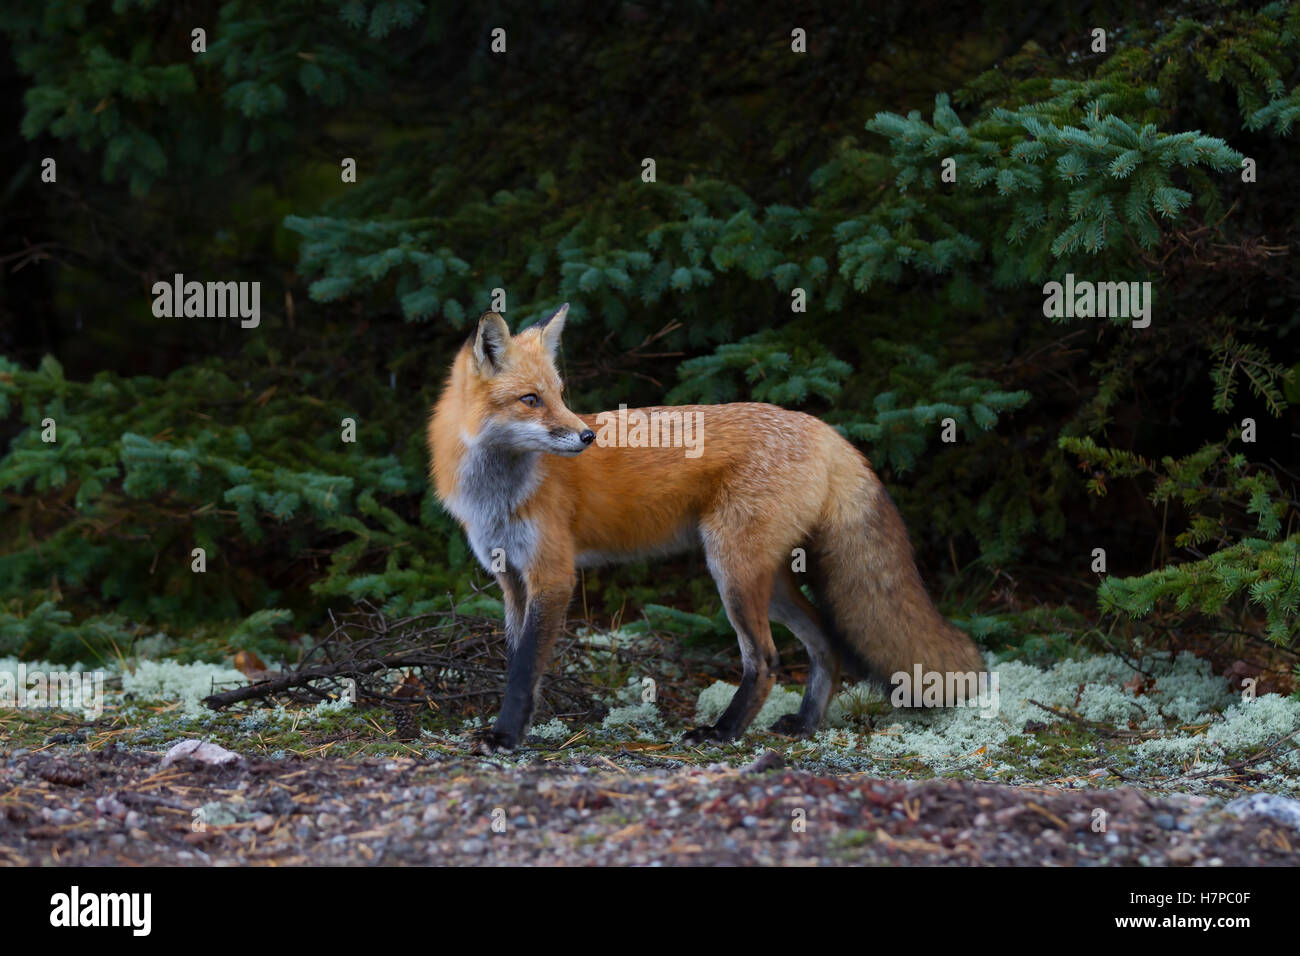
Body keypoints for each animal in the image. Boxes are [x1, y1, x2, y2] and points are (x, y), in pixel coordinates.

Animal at [429, 304, 986, 752]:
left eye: (561, 395)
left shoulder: (553, 575)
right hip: (767, 579)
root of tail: (824, 428)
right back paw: (806, 723)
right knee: (824, 641)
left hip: (731, 572)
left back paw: (723, 732)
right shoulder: (512, 579)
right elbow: (517, 662)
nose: (587, 435)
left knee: (765, 660)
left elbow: (524, 668)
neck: (497, 494)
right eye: (530, 399)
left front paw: (505, 737)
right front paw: (516, 727)